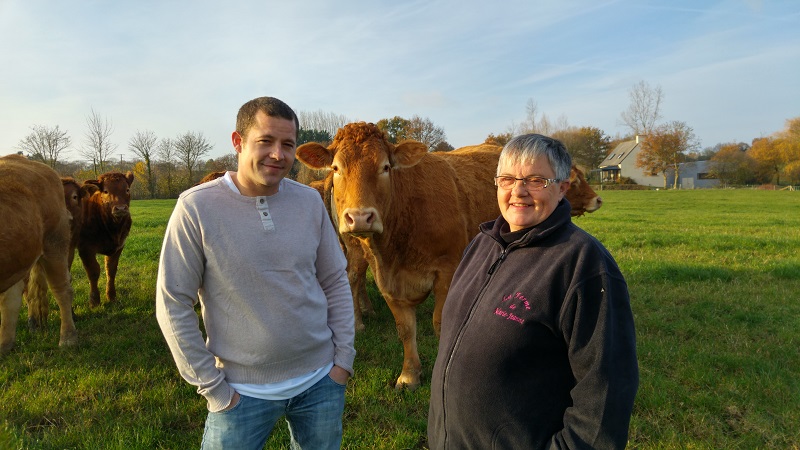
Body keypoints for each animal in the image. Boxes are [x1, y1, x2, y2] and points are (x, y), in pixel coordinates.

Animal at [77, 171, 134, 308]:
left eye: (127, 189)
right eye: (106, 191)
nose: (121, 208)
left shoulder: (119, 246)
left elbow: (111, 269)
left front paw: (111, 296)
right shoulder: (85, 248)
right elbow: (93, 271)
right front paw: (94, 300)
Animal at [296, 122, 504, 386]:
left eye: (385, 167)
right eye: (336, 168)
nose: (360, 217)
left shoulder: (447, 271)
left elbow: (440, 323)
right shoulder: (385, 279)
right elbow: (404, 328)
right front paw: (409, 374)